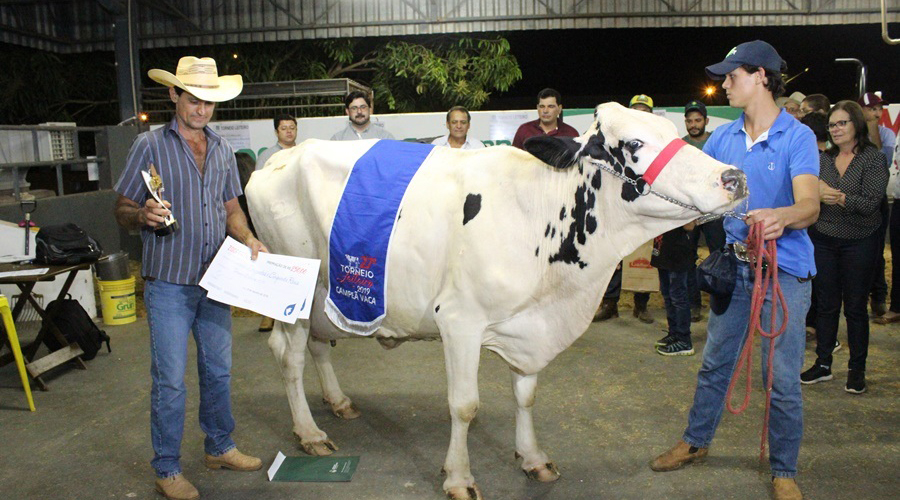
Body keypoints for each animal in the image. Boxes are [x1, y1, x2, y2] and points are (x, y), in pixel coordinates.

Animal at [244, 102, 744, 500]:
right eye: (635, 143)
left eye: (674, 132)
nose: (734, 176)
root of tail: (280, 157)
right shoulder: (460, 321)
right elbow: (464, 405)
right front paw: (459, 477)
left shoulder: (530, 326)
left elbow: (526, 394)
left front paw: (533, 457)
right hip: (296, 291)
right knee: (287, 355)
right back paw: (309, 432)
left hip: (326, 297)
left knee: (317, 346)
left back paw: (338, 402)